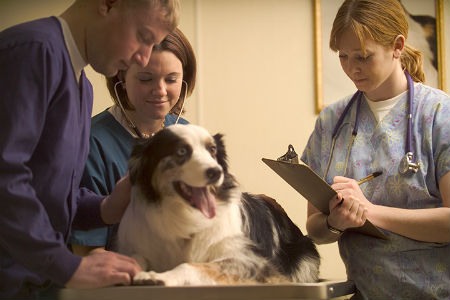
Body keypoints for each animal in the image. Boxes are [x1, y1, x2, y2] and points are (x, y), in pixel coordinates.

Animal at [116, 124, 320, 286]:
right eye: (181, 151)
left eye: (212, 151)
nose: (216, 171)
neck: (186, 214)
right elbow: (134, 257)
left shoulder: (250, 260)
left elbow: (190, 265)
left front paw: (161, 277)